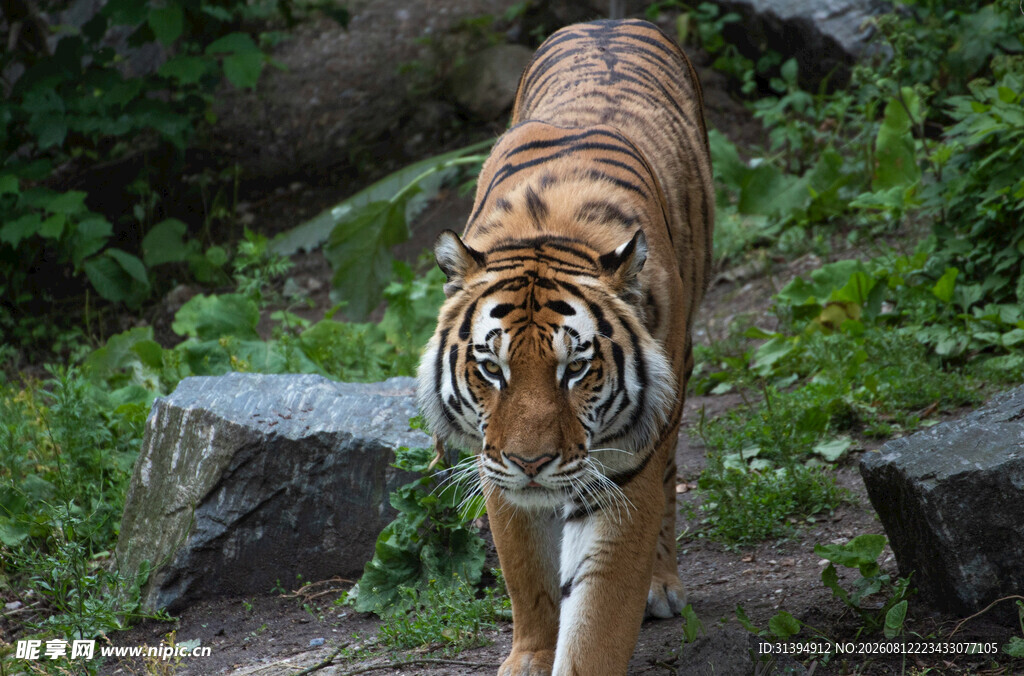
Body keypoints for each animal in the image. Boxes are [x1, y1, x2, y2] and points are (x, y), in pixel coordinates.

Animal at [416, 18, 713, 675]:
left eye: (576, 369)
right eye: (491, 368)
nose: (532, 463)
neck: (545, 231)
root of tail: (609, 20)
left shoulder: (624, 472)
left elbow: (599, 614)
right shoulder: (496, 466)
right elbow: (528, 576)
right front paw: (529, 657)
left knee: (670, 475)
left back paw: (663, 584)